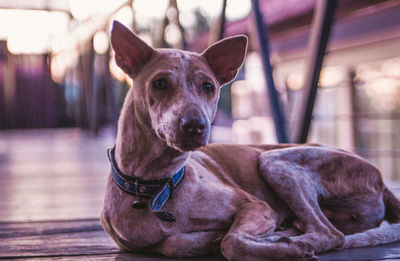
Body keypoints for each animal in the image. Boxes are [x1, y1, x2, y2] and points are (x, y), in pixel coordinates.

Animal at [101, 20, 400, 260]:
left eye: (208, 87)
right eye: (160, 83)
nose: (195, 126)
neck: (158, 185)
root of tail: (381, 179)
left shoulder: (255, 205)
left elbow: (231, 242)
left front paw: (279, 247)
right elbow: (173, 243)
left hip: (275, 160)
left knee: (330, 233)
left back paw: (288, 240)